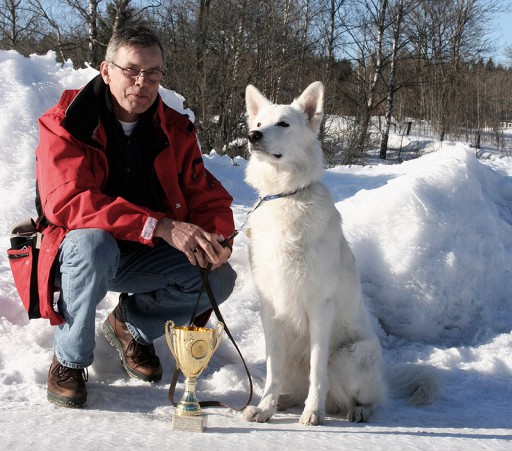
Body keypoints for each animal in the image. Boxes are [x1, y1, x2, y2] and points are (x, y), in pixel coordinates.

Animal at [242, 83, 434, 426]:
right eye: (260, 122)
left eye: (283, 124)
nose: (253, 135)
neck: (287, 197)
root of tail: (383, 380)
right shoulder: (271, 309)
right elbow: (273, 370)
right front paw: (265, 407)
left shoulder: (320, 308)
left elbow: (317, 371)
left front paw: (312, 413)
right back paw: (284, 402)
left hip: (347, 356)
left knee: (368, 399)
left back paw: (355, 410)